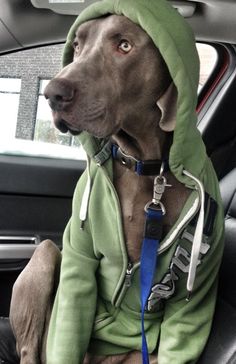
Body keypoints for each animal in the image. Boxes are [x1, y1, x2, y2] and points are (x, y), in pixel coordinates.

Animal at [9, 14, 190, 364]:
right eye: (78, 45)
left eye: (125, 45)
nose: (53, 92)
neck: (145, 166)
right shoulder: (78, 258)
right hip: (47, 254)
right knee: (29, 348)